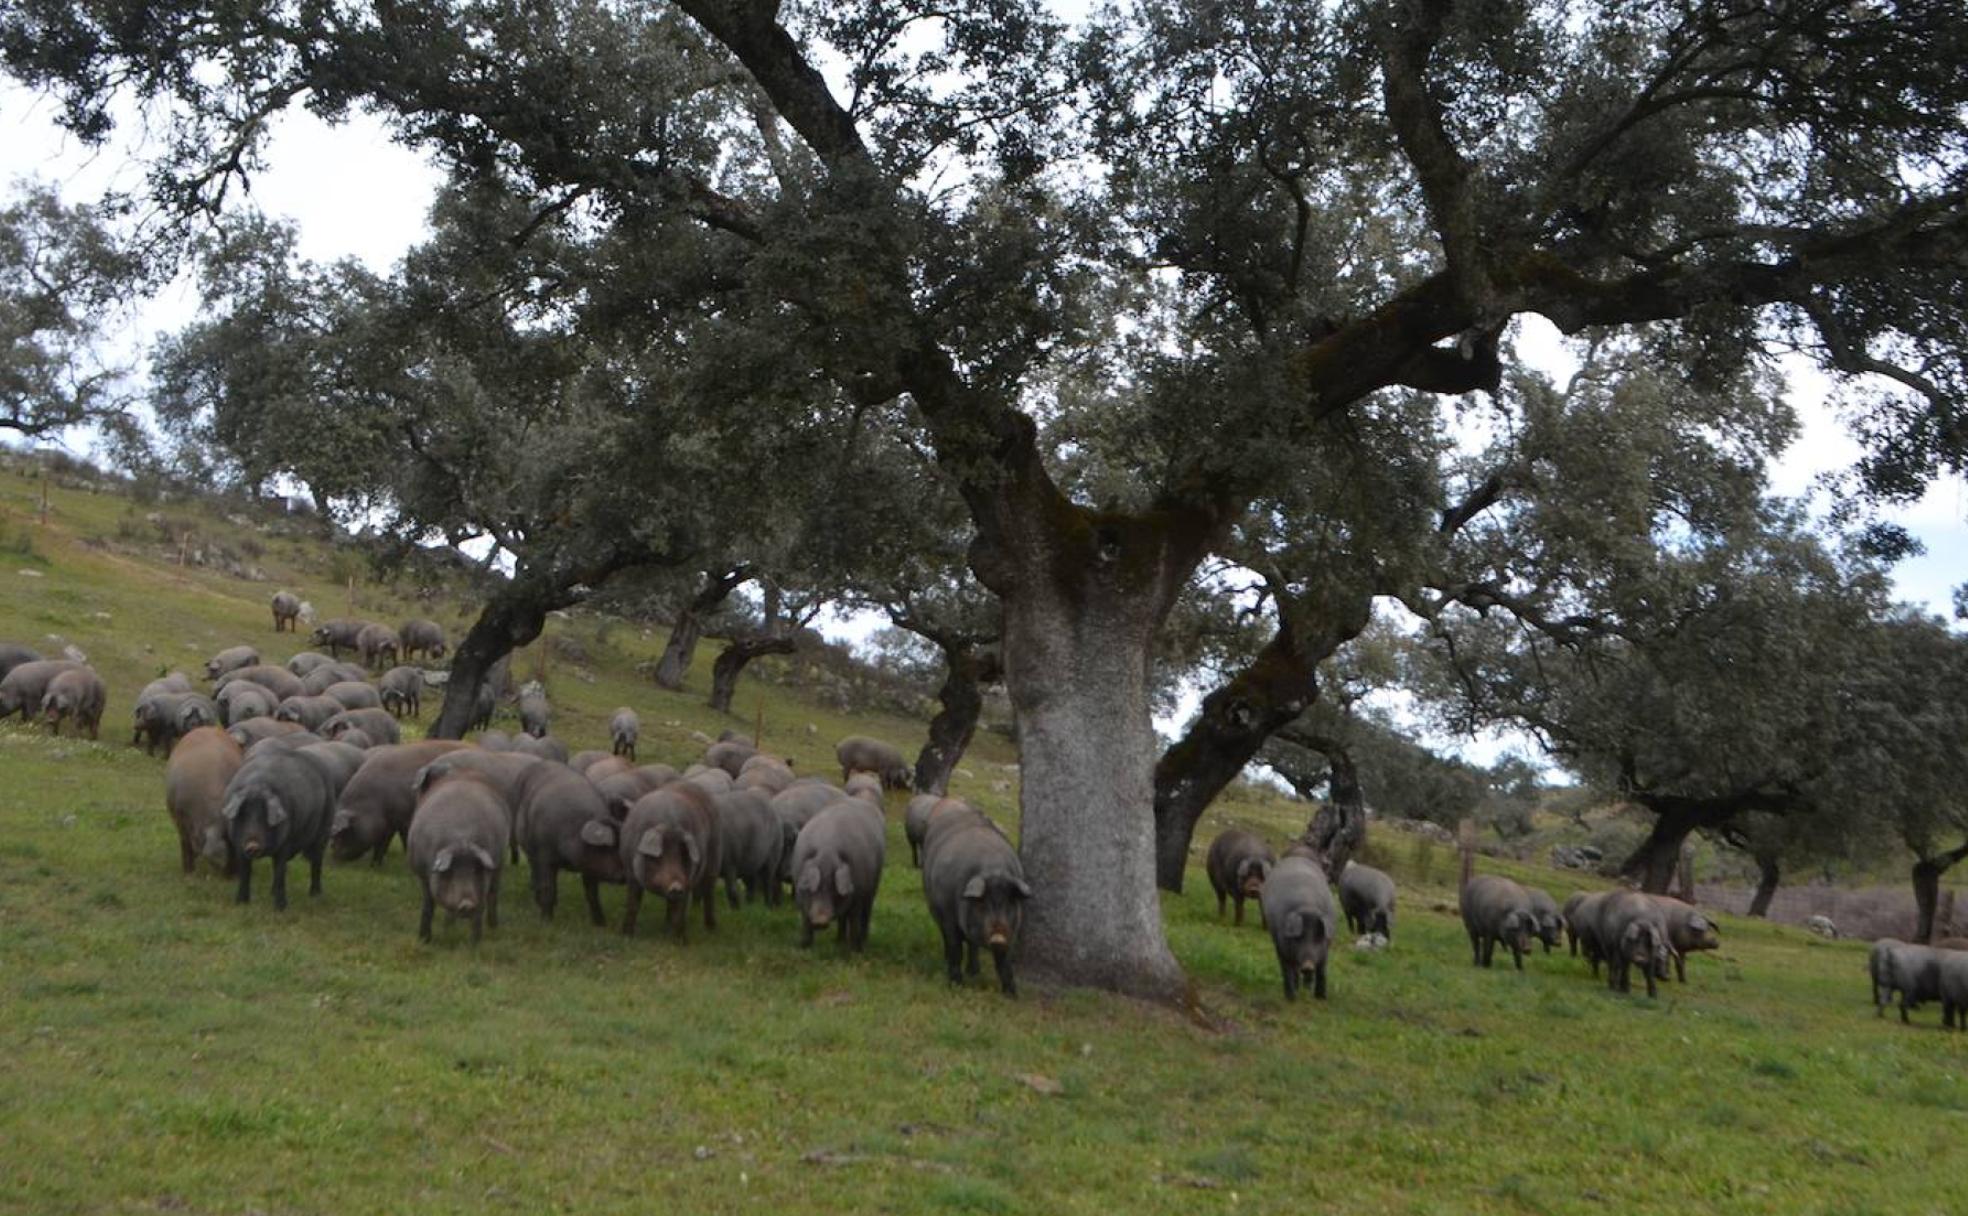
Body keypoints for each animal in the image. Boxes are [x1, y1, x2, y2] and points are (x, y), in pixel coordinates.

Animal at [1259, 853, 1338, 995]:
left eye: (1318, 937)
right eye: (1299, 938)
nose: (1308, 965)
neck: (1308, 906)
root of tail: (1295, 857)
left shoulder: (1327, 945)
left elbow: (1322, 970)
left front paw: (1321, 997)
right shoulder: (1280, 944)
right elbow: (1286, 969)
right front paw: (1291, 997)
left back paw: (1307, 988)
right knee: (1293, 968)